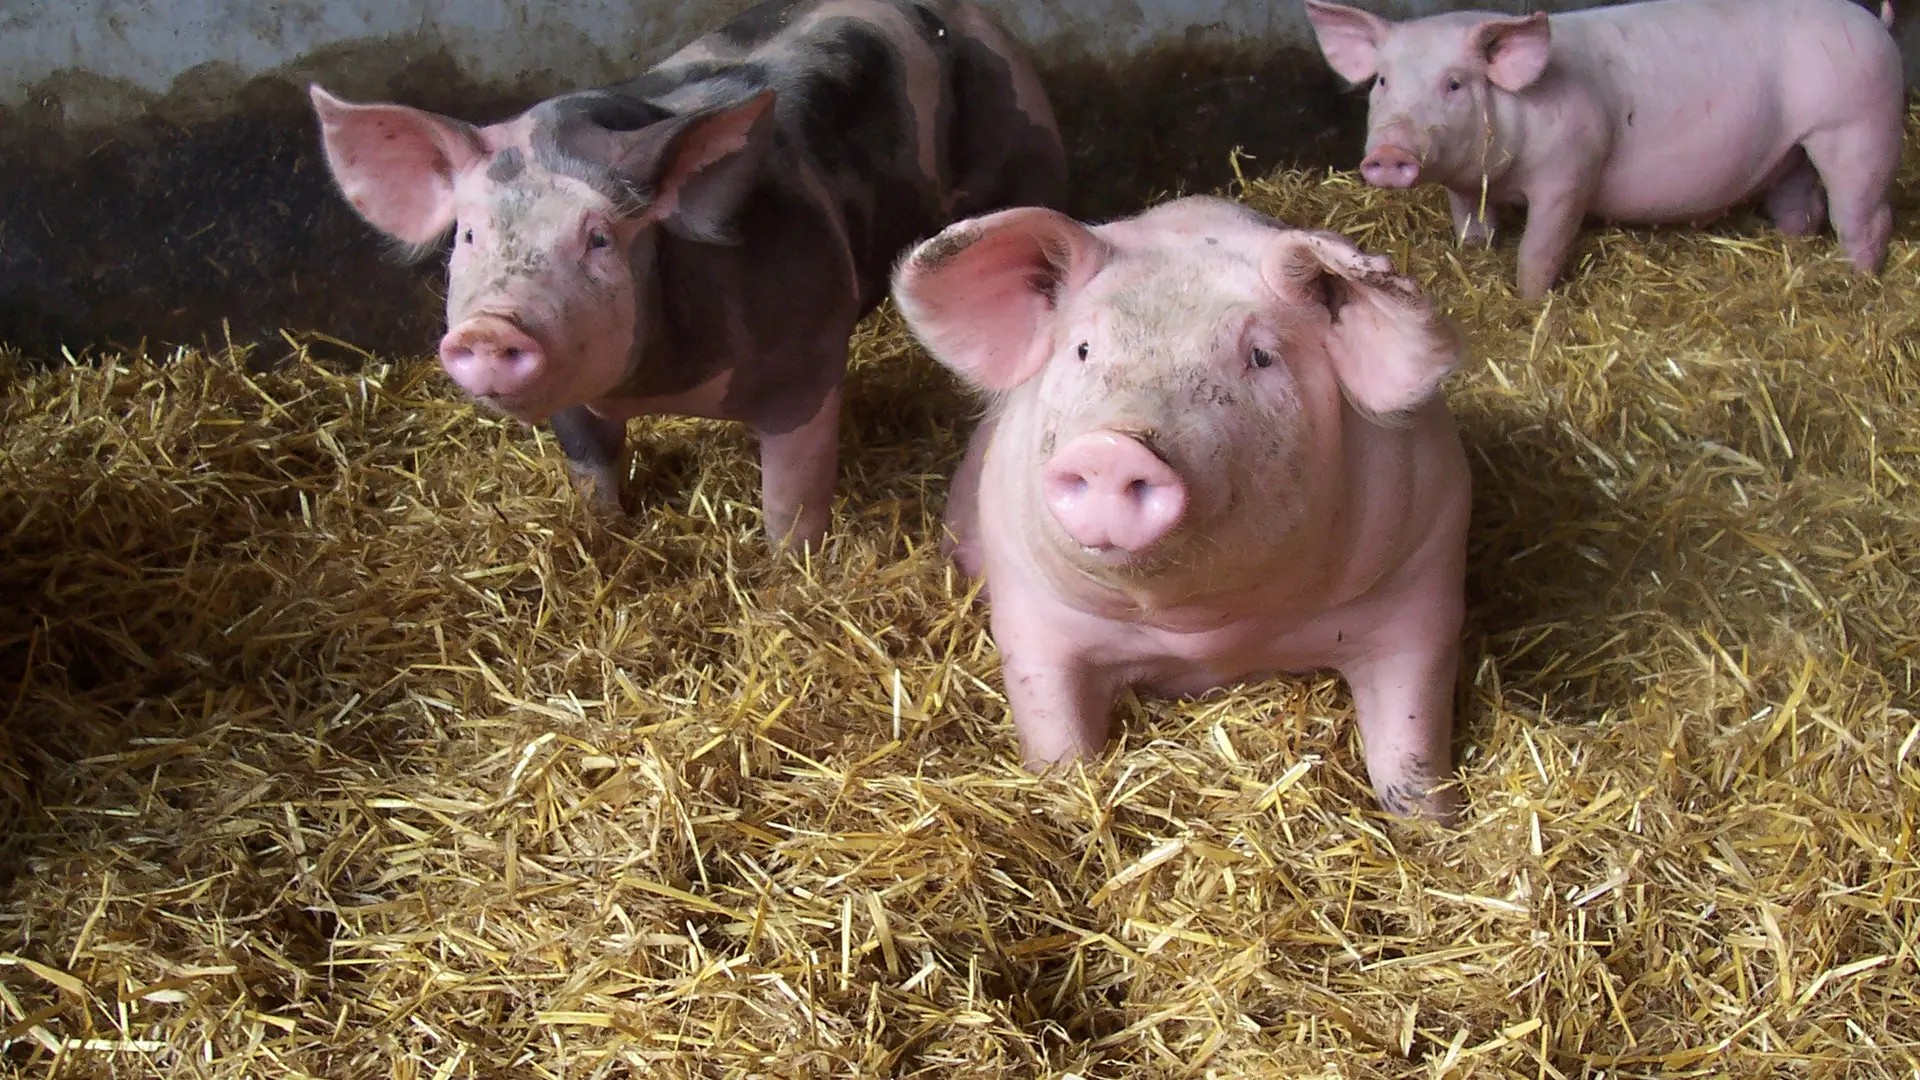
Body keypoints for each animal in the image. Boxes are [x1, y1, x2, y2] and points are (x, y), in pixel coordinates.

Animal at [309, 0, 1066, 550]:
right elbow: (592, 471)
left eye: (599, 238)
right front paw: (605, 536)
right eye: (469, 234)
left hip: (1024, 160)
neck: (657, 389)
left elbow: (792, 496)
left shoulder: (808, 359)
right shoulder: (575, 398)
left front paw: (787, 576)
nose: (493, 327)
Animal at [890, 195, 1472, 820]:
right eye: (1083, 348)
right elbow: (1054, 732)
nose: (1114, 448)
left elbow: (1412, 746)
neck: (1203, 638)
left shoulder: (1422, 583)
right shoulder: (1030, 613)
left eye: (1261, 356)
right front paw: (1066, 797)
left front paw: (1433, 827)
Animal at [1304, 0, 1906, 301]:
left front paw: (1530, 303)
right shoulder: (1464, 184)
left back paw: (1856, 282)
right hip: (1795, 149)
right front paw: (1476, 252)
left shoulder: (1571, 171)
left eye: (1454, 84)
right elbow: (1473, 229)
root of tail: (1875, 23)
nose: (1388, 151)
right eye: (1383, 81)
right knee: (1802, 206)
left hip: (1859, 128)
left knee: (1867, 218)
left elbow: (1540, 250)